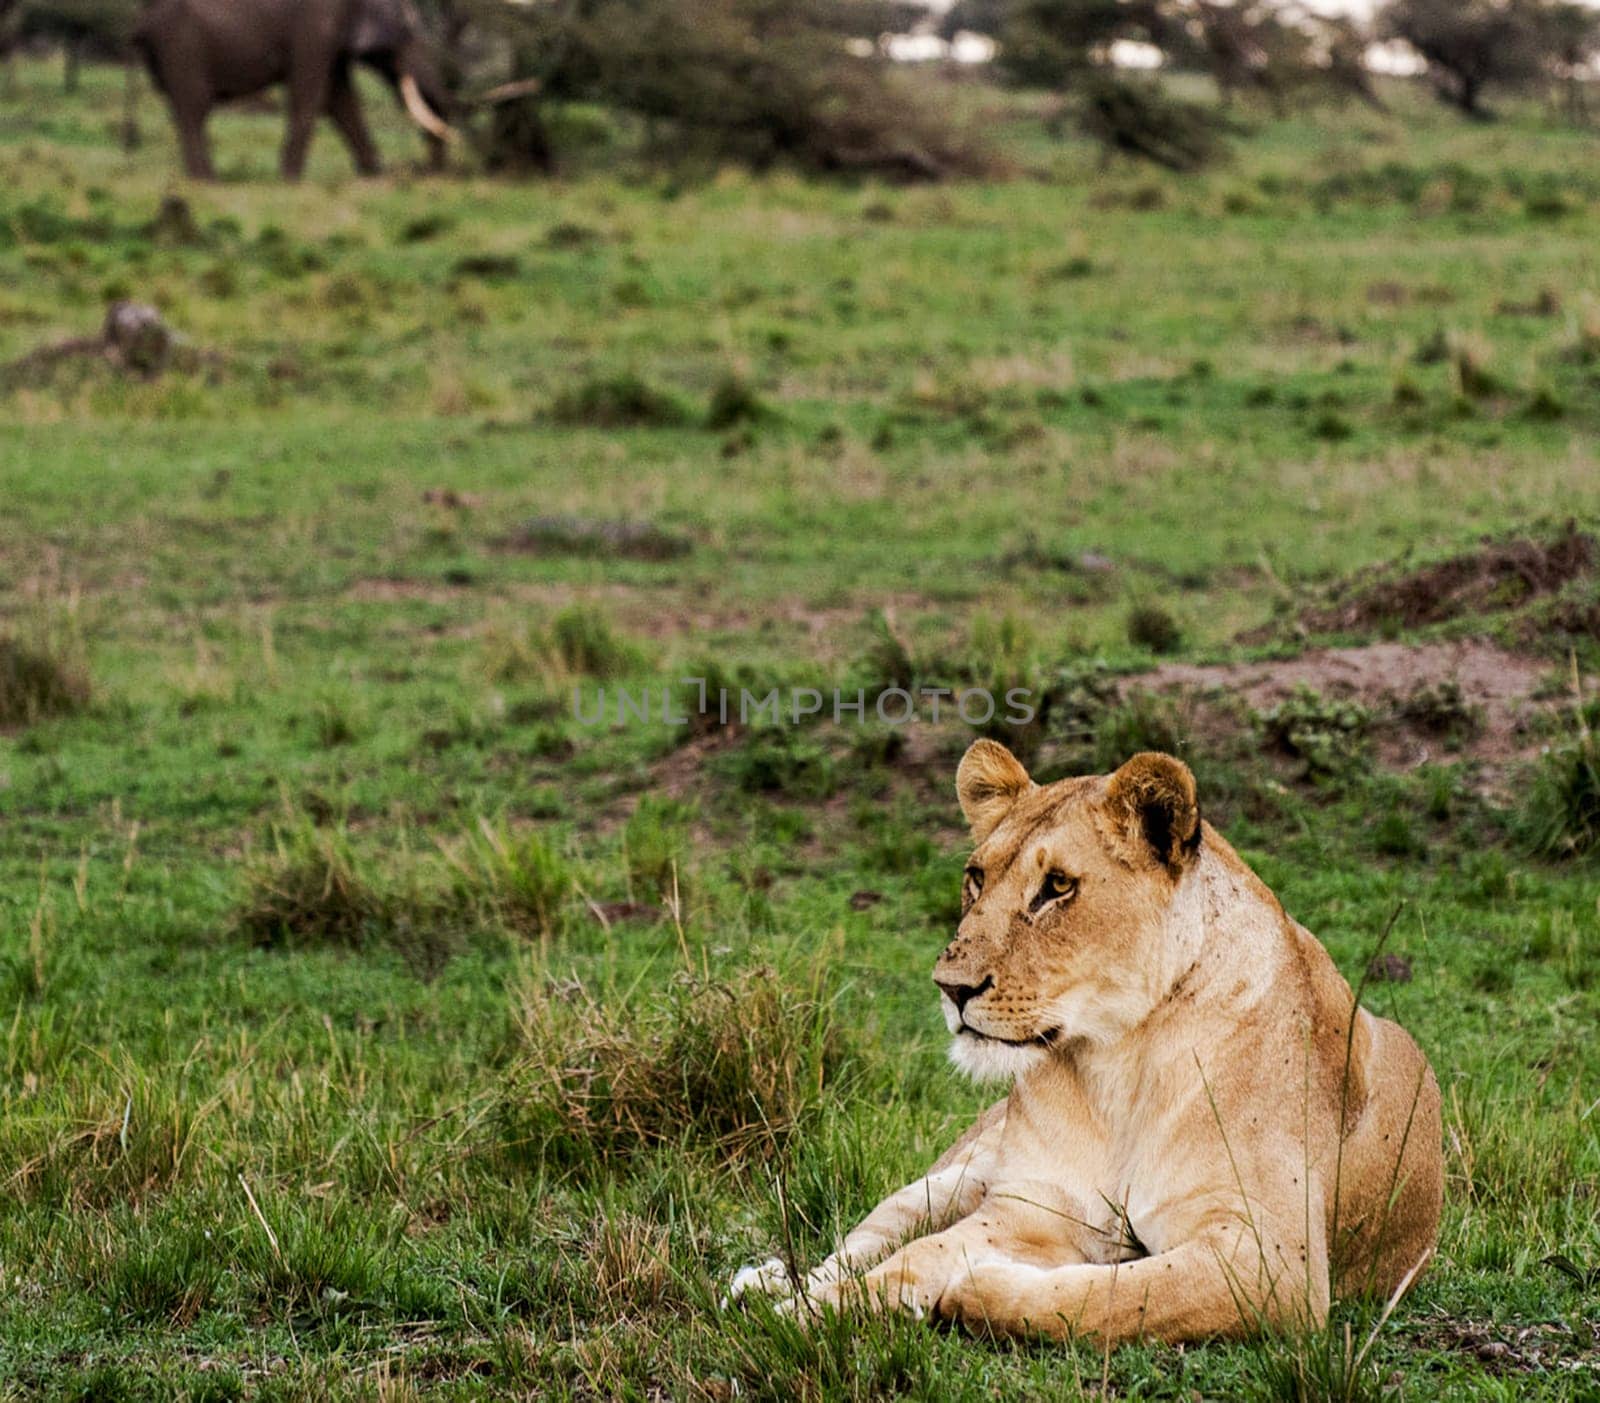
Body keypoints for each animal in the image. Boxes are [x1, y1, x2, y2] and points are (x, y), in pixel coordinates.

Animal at [130, 0, 457, 180]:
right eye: (408, 33)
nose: (431, 171)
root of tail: (142, 19)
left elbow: (339, 101)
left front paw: (375, 174)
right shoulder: (315, 26)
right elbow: (311, 95)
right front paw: (290, 179)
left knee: (184, 110)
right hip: (182, 46)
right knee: (194, 110)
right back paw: (207, 182)